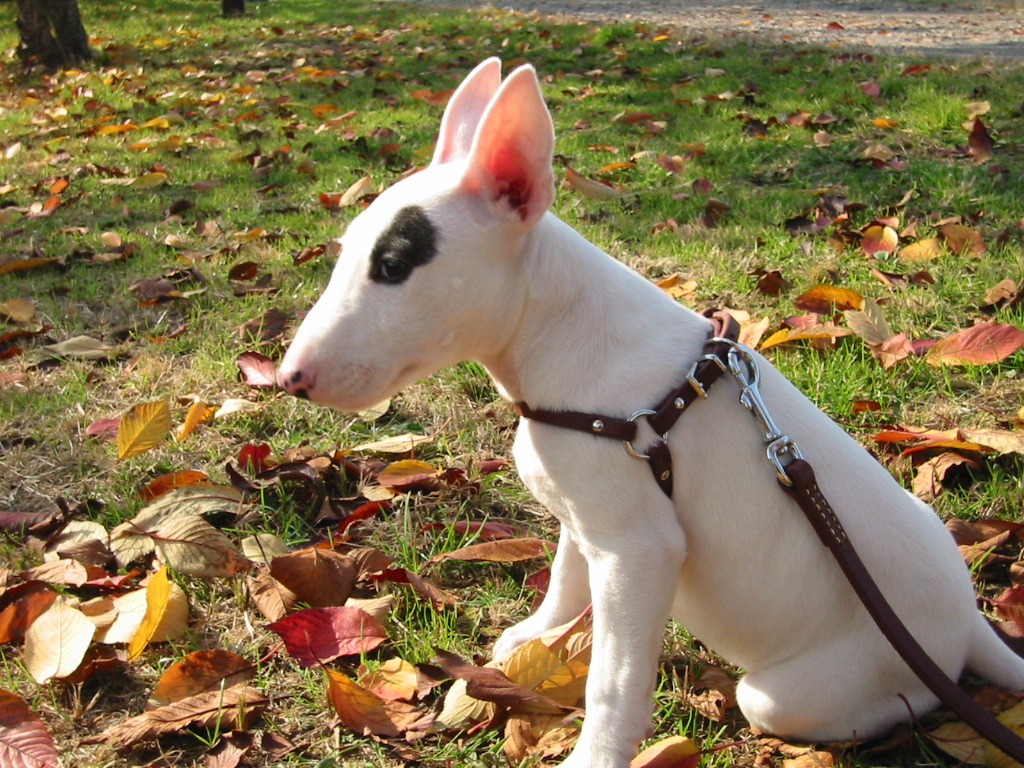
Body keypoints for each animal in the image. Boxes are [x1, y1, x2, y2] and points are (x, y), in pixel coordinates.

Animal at [278, 57, 1024, 765]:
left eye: (394, 266)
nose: (289, 379)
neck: (554, 333)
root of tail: (965, 626)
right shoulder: (585, 521)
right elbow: (565, 577)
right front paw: (537, 635)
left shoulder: (639, 550)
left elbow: (613, 679)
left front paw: (594, 756)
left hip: (792, 693)